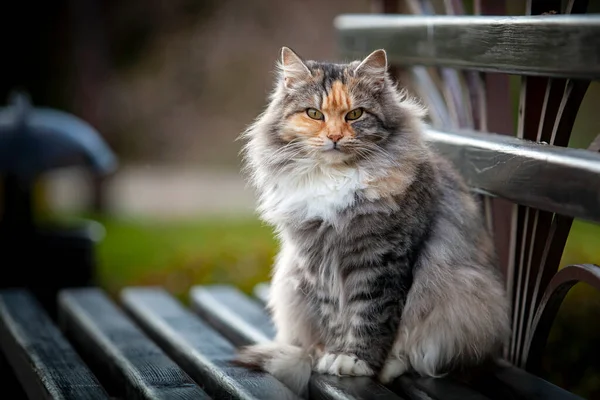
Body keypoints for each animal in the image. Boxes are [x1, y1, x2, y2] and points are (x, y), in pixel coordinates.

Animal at [237, 47, 508, 396]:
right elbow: (335, 316)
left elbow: (370, 316)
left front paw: (356, 361)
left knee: (421, 352)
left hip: (463, 295)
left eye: (355, 115)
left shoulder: (381, 259)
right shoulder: (317, 261)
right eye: (314, 114)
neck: (334, 179)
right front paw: (333, 352)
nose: (335, 136)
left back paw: (390, 367)